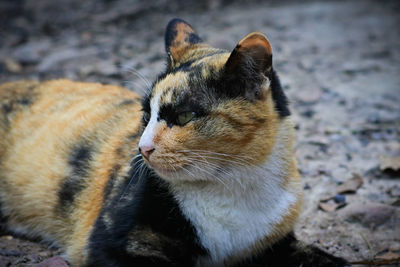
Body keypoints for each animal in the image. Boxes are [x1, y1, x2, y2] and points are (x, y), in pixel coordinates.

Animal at [0, 17, 346, 266]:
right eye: (145, 115)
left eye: (184, 116)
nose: (142, 149)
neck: (232, 186)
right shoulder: (109, 243)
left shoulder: (276, 243)